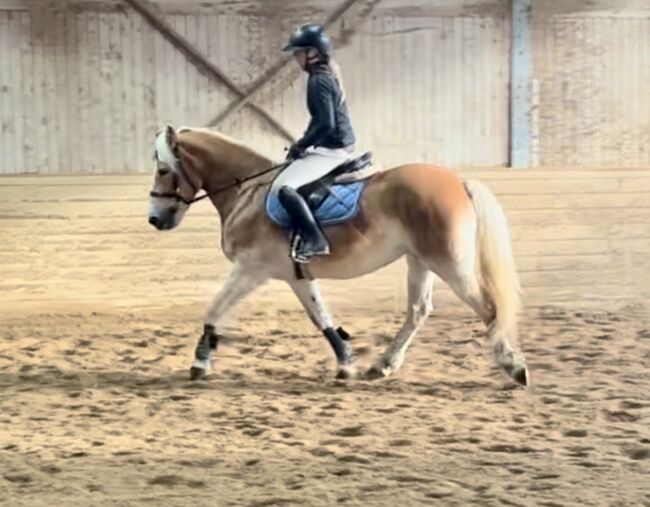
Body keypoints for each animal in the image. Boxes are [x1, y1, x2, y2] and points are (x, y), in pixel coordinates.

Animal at [147, 126, 528, 384]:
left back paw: (513, 365)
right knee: (419, 311)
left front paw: (200, 361)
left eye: (164, 170)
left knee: (489, 308)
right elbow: (321, 316)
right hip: (420, 261)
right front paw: (346, 362)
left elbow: (215, 308)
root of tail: (459, 182)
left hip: (450, 264)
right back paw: (383, 365)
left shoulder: (250, 270)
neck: (247, 193)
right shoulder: (296, 275)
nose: (155, 219)